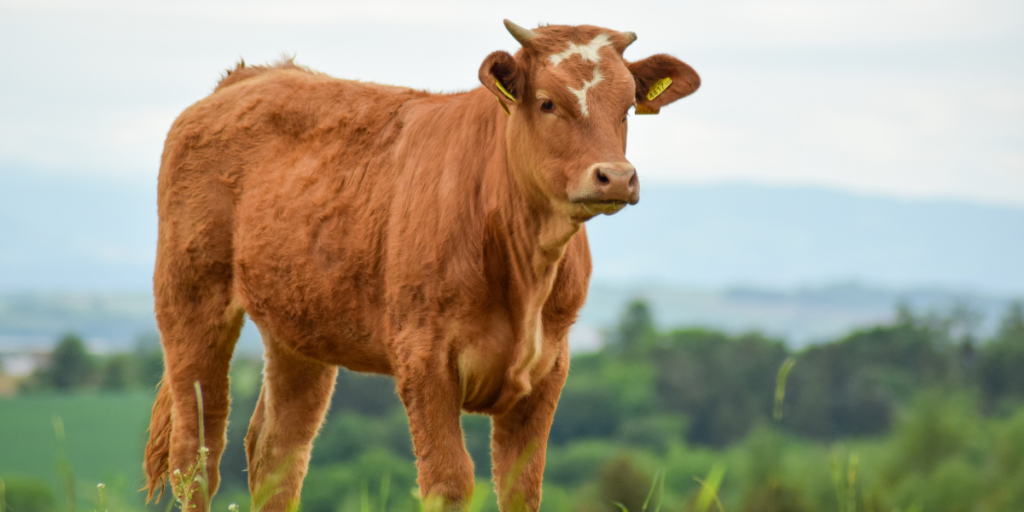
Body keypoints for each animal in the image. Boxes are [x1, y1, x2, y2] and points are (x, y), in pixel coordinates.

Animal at [143, 20, 699, 512]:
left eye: (627, 107)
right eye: (547, 102)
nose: (616, 176)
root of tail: (252, 75)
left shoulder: (549, 366)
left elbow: (522, 487)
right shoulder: (423, 356)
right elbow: (449, 482)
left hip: (299, 331)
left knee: (276, 453)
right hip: (191, 301)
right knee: (196, 456)